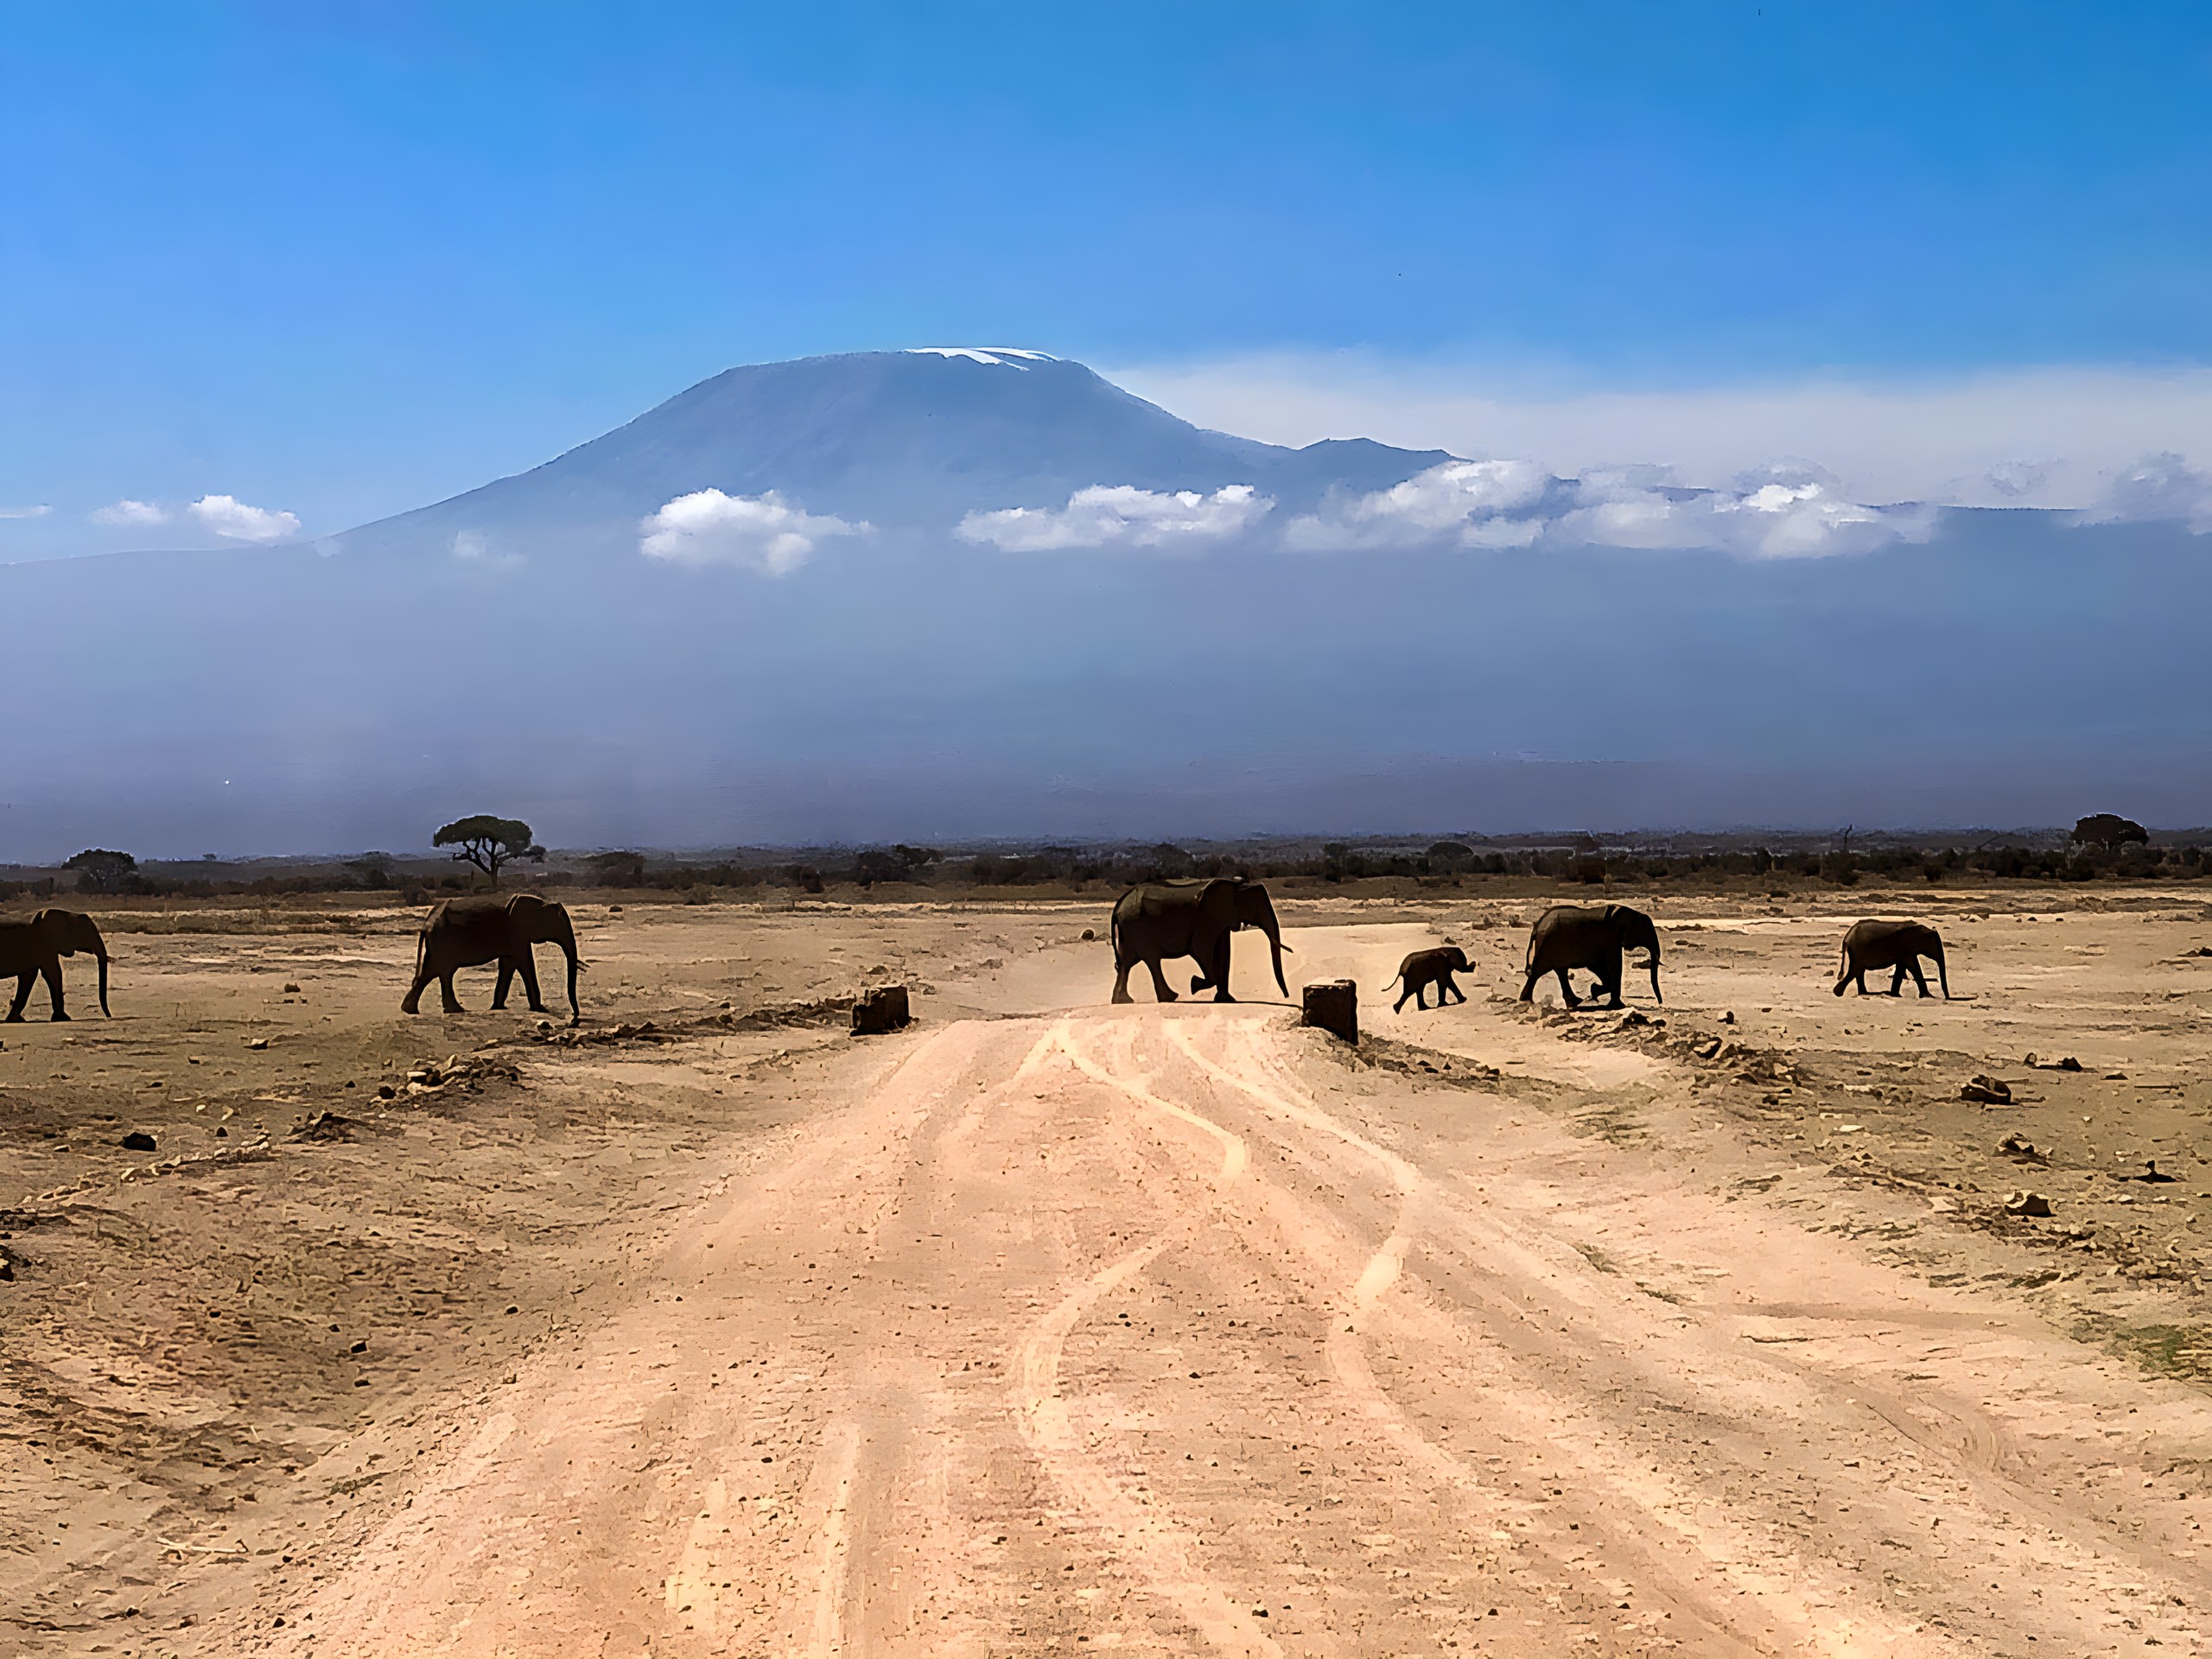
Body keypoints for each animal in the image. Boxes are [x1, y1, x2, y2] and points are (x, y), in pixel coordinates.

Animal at [0, 911, 111, 1026]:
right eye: (86, 934)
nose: (108, 1016)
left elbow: (29, 977)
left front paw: (16, 1020)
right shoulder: (46, 945)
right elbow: (53, 974)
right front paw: (64, 1018)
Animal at [400, 898, 583, 1026]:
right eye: (559, 924)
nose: (573, 1020)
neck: (539, 903)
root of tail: (427, 921)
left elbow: (509, 964)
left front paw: (498, 1007)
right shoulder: (518, 934)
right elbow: (524, 963)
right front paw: (541, 1009)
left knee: (437, 972)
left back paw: (419, 1010)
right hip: (442, 940)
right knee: (438, 970)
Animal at [1106, 875, 1292, 1008]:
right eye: (1257, 906)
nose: (1287, 996)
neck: (1235, 885)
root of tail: (1119, 904)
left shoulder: (1220, 919)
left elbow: (1223, 953)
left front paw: (1227, 1000)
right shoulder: (1205, 919)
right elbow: (1201, 950)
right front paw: (1194, 984)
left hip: (1130, 930)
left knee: (1127, 963)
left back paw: (1124, 1001)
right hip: (1137, 927)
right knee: (1150, 959)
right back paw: (1170, 997)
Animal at [1522, 911, 1663, 1013]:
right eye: (1646, 932)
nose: (1660, 1003)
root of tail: (1536, 928)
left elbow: (1599, 966)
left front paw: (1594, 992)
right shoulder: (1612, 937)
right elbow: (1614, 965)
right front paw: (1618, 1006)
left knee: (1560, 970)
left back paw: (1575, 1002)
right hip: (1547, 944)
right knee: (1538, 971)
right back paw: (1526, 1001)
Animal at [1831, 925, 1955, 1000]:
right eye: (1936, 946)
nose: (1946, 998)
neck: (1921, 930)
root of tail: (1847, 937)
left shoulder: (1904, 951)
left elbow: (1902, 967)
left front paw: (1895, 995)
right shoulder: (1906, 949)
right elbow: (1913, 966)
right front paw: (1929, 996)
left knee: (1859, 972)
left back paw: (1864, 993)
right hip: (1858, 951)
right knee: (1856, 971)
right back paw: (1837, 993)